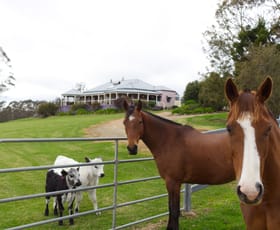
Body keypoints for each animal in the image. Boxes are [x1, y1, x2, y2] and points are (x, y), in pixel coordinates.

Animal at [122, 100, 234, 230]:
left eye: (140, 122)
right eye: (124, 122)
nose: (132, 148)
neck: (170, 140)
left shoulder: (173, 182)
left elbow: (174, 211)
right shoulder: (174, 183)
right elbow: (172, 209)